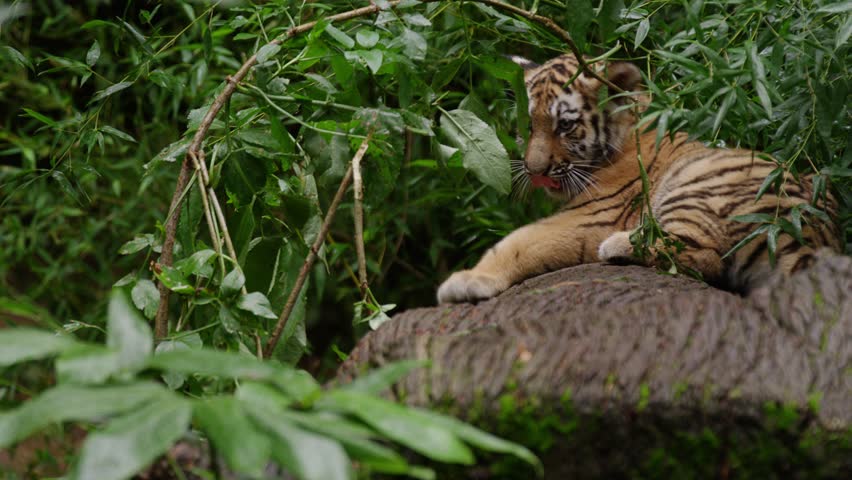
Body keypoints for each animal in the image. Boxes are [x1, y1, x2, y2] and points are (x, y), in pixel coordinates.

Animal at [437, 54, 840, 304]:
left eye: (564, 125)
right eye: (528, 125)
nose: (535, 172)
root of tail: (814, 238)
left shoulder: (593, 216)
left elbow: (518, 242)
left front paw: (466, 280)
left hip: (698, 184)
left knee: (703, 254)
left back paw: (619, 246)